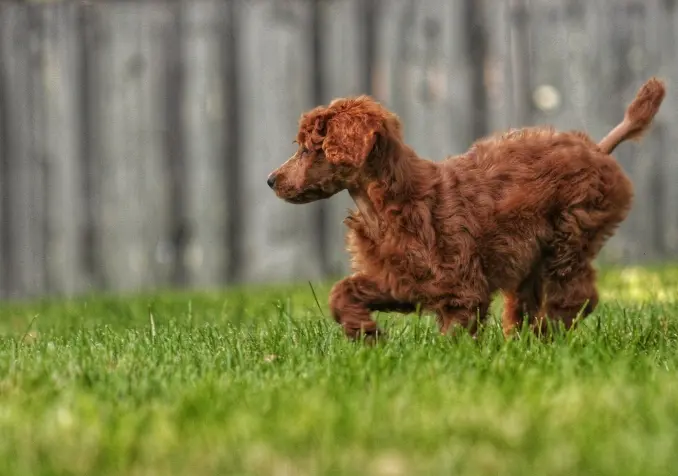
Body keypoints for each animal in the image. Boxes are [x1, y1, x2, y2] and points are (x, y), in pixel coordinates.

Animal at [268, 78, 668, 338]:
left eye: (309, 149)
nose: (271, 180)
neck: (384, 204)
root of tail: (597, 149)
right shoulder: (399, 278)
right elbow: (342, 292)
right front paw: (365, 332)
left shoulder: (459, 285)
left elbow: (455, 332)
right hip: (531, 261)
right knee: (530, 303)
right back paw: (524, 344)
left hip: (570, 235)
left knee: (575, 297)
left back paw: (548, 338)